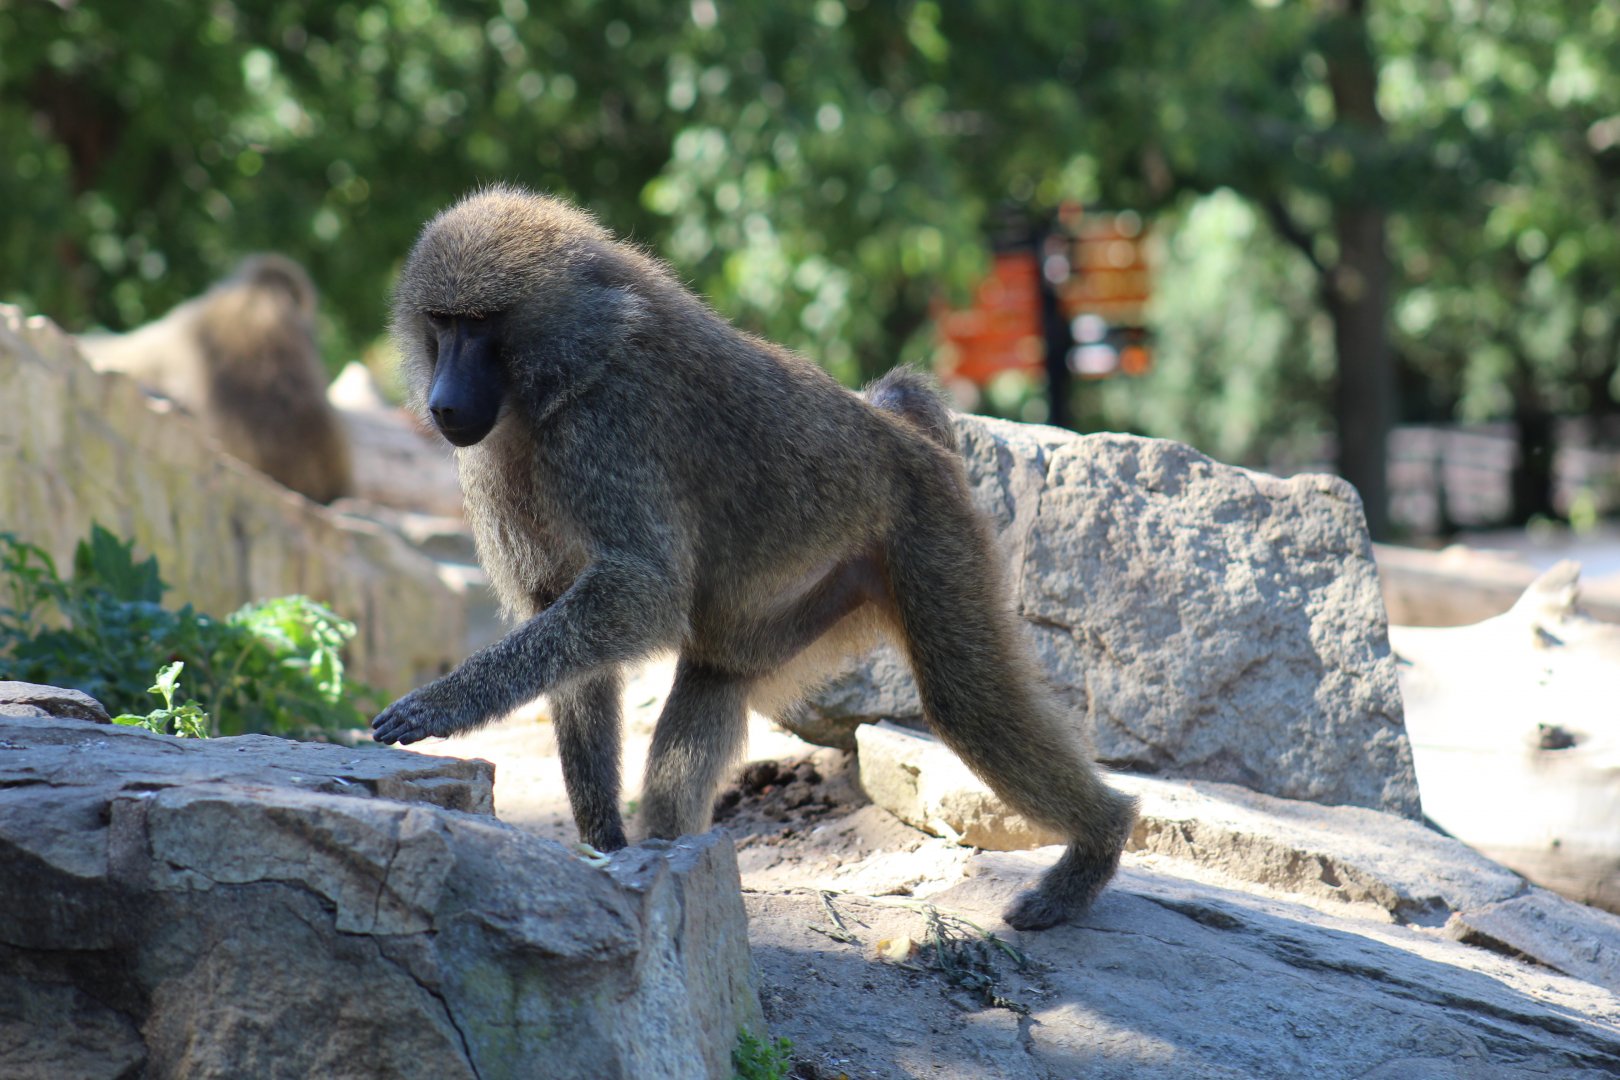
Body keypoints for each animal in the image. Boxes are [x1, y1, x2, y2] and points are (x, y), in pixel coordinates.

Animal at [371, 185, 1137, 931]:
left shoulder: (607, 428)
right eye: (441, 323)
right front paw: (603, 846)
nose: (442, 404)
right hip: (807, 602)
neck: (564, 374)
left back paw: (1096, 848)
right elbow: (566, 621)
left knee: (965, 699)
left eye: (480, 325)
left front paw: (439, 705)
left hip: (932, 532)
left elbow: (642, 594)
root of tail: (901, 434)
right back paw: (672, 857)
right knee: (713, 680)